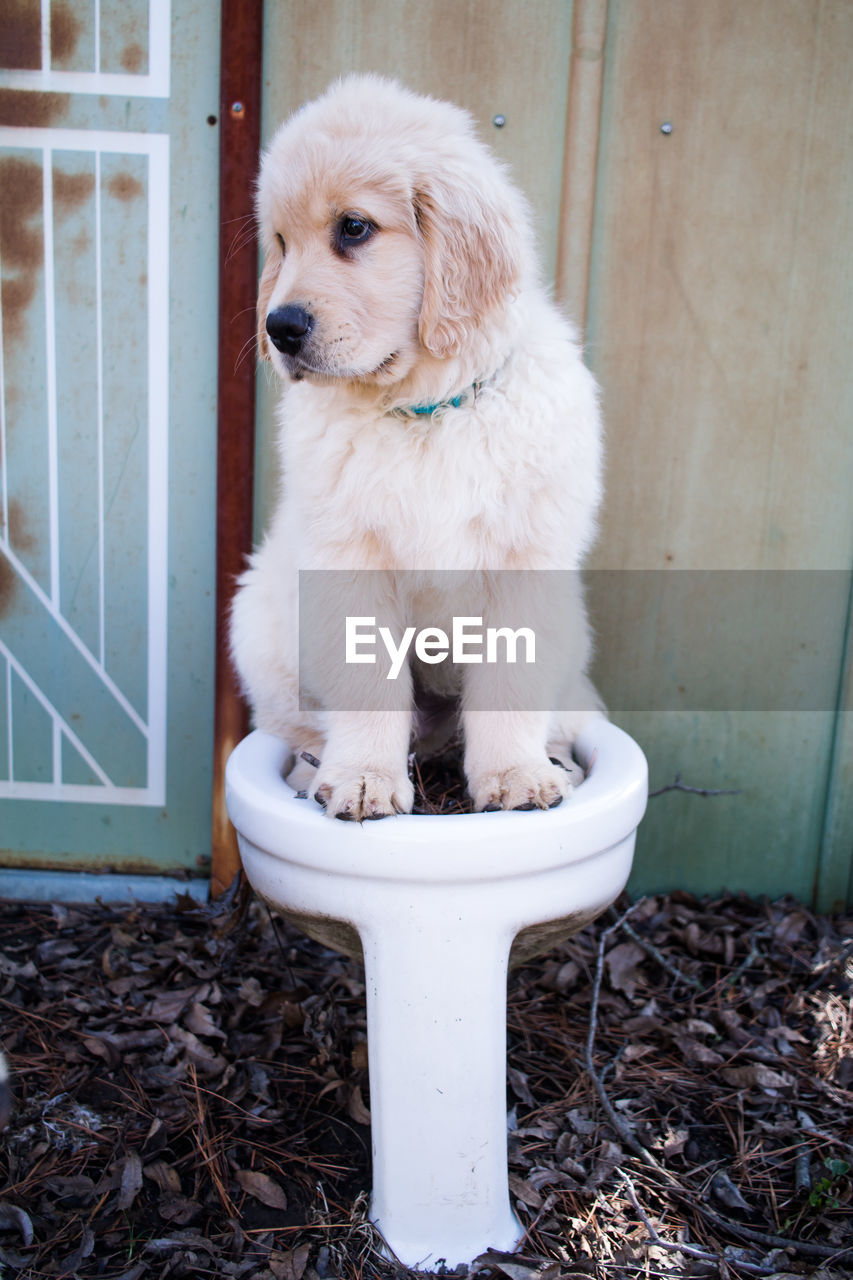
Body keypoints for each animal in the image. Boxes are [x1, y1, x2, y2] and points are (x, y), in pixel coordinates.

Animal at [230, 74, 604, 819]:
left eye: (353, 228)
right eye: (280, 242)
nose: (278, 327)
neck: (425, 411)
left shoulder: (525, 564)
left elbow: (510, 690)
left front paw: (515, 776)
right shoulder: (349, 565)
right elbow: (367, 690)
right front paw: (363, 778)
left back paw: (555, 761)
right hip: (262, 627)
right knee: (297, 725)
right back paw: (313, 769)